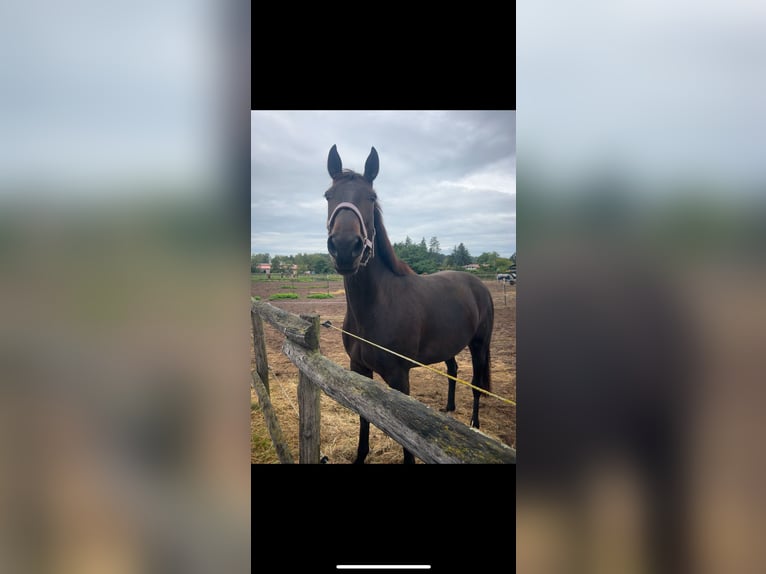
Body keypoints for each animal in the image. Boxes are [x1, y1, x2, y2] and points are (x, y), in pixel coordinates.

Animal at [324, 144, 495, 464]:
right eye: (329, 196)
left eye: (371, 197)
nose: (345, 247)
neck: (375, 306)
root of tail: (477, 284)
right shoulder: (358, 370)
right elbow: (364, 418)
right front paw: (360, 457)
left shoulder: (399, 377)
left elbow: (406, 441)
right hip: (450, 345)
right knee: (453, 370)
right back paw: (448, 409)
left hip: (480, 345)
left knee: (477, 384)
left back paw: (474, 425)